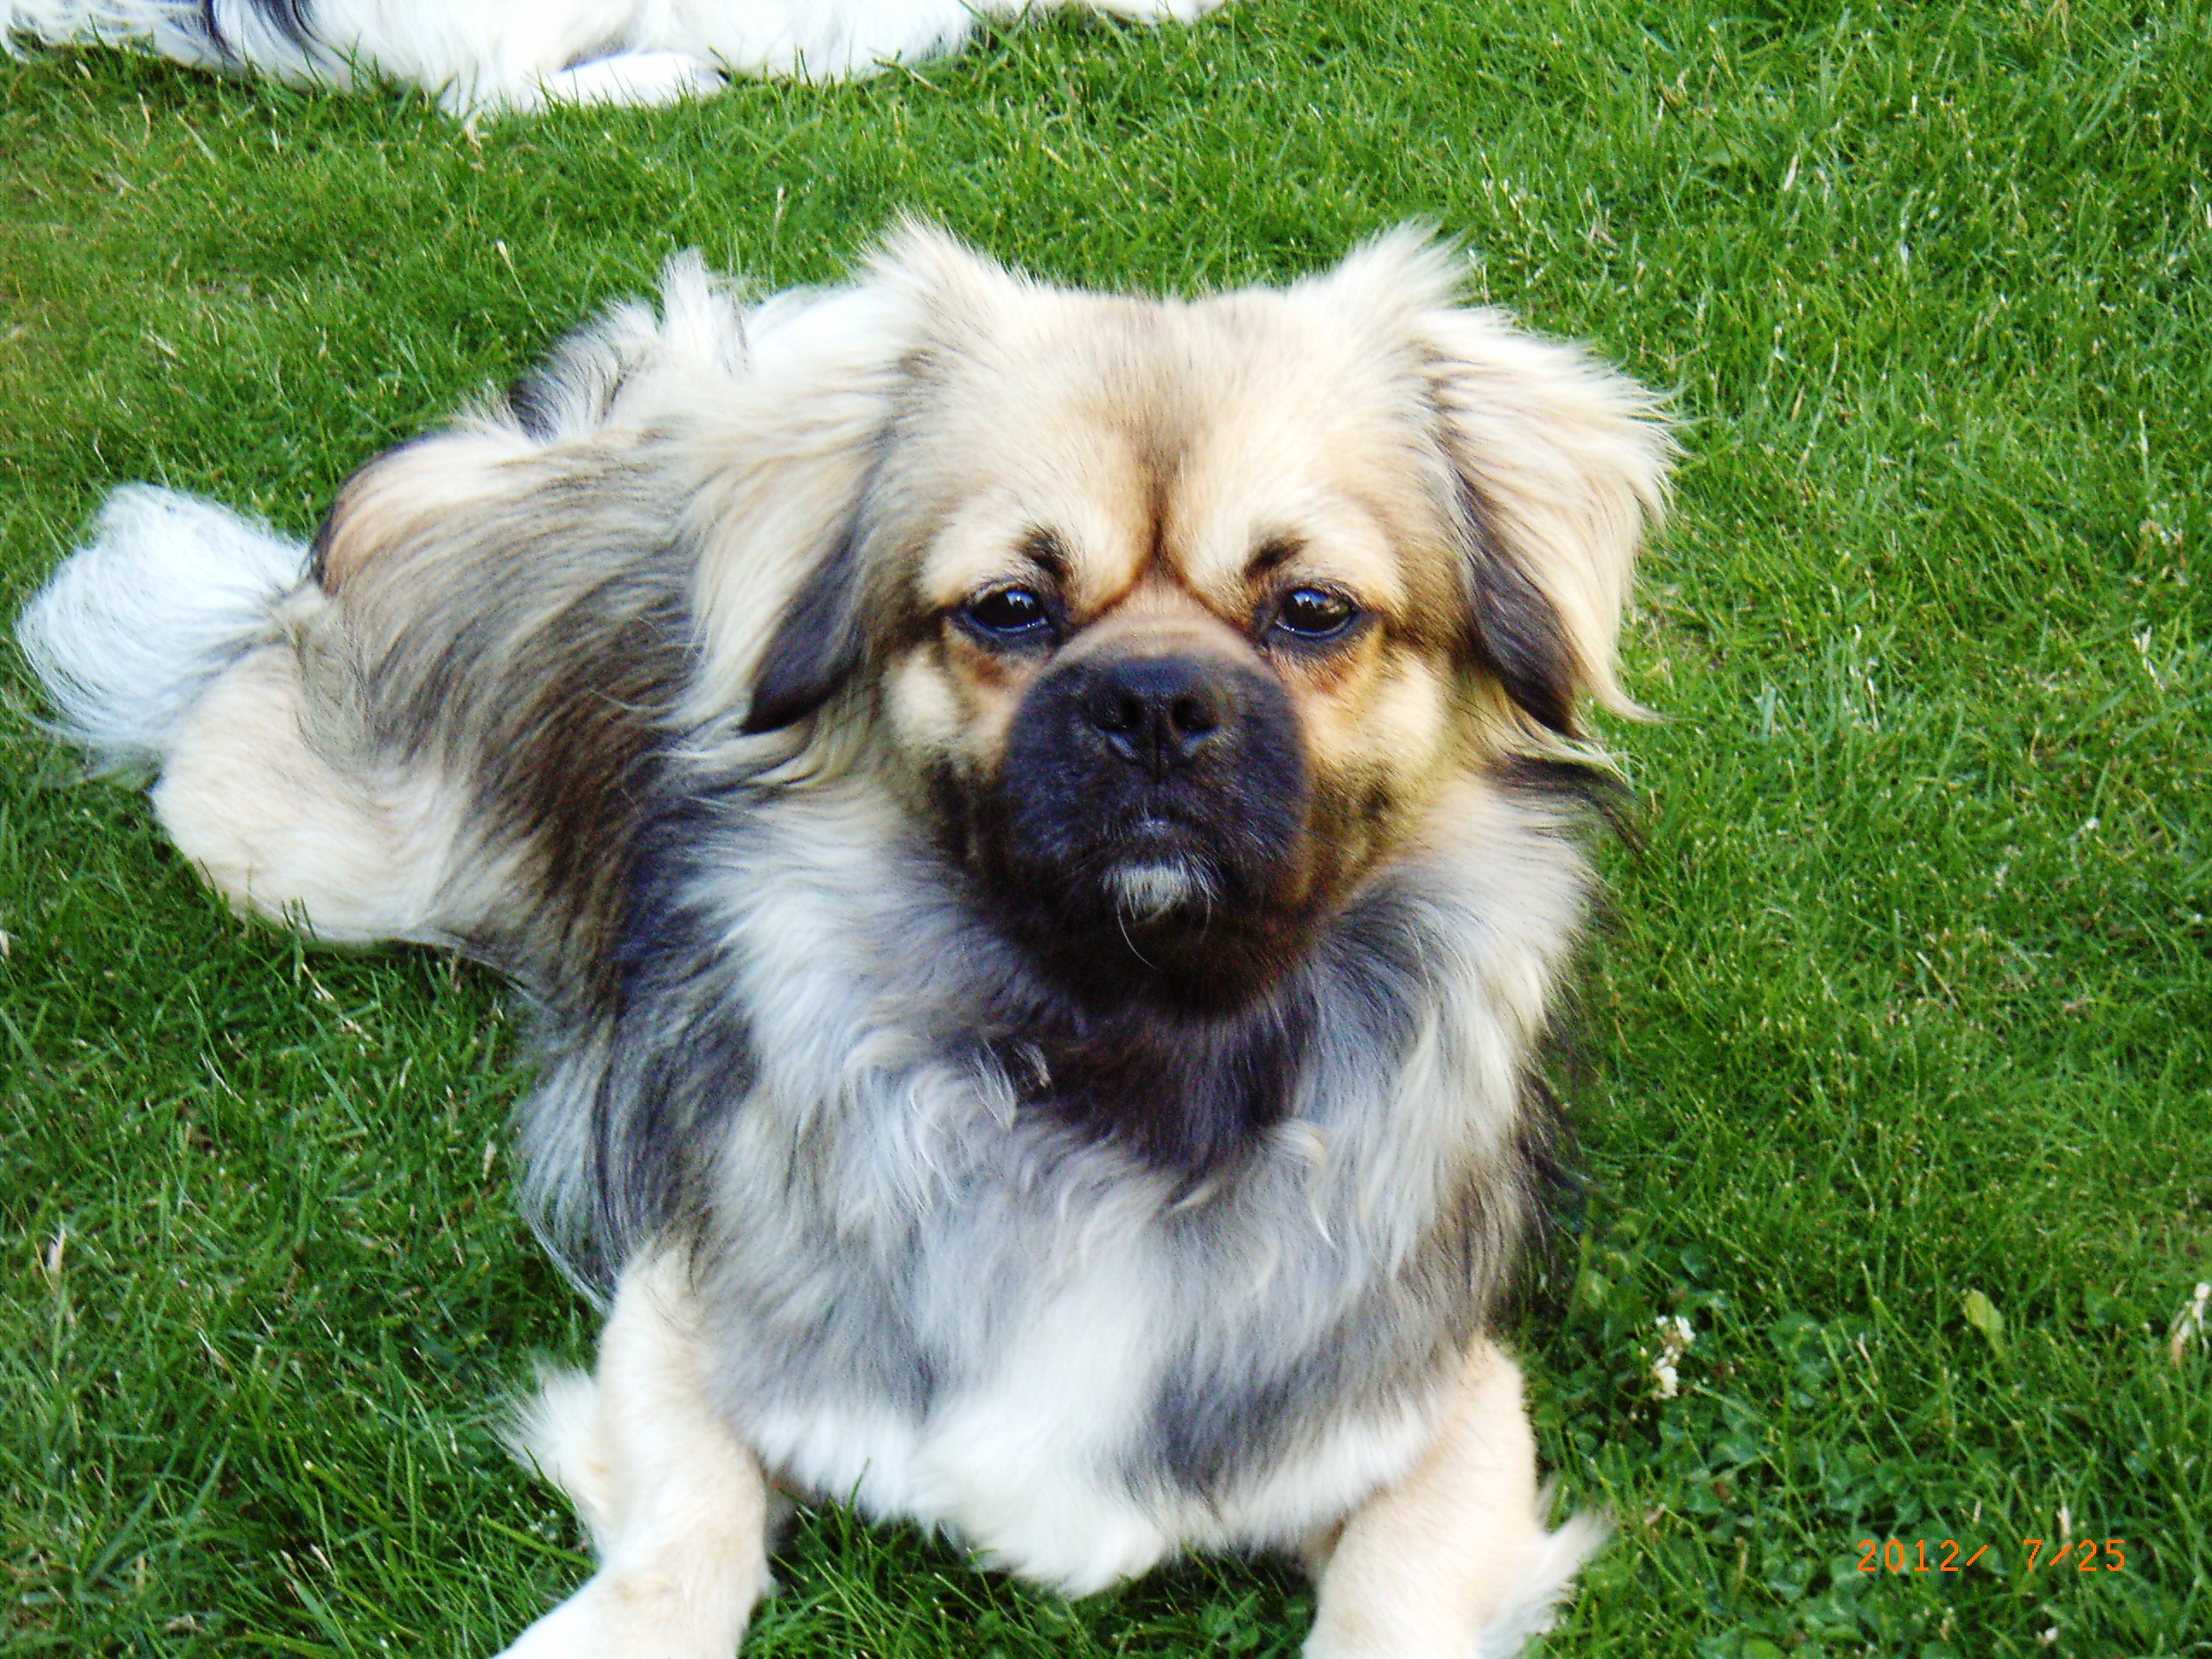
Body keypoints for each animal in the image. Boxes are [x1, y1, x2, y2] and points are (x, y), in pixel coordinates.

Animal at [18, 226, 1671, 1657]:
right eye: (1008, 607)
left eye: (1314, 609)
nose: (1151, 702)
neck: (1118, 1051)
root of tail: (595, 452)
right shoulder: (688, 1312)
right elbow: (684, 1541)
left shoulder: (1446, 1408)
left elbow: (1390, 1605)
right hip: (298, 857)